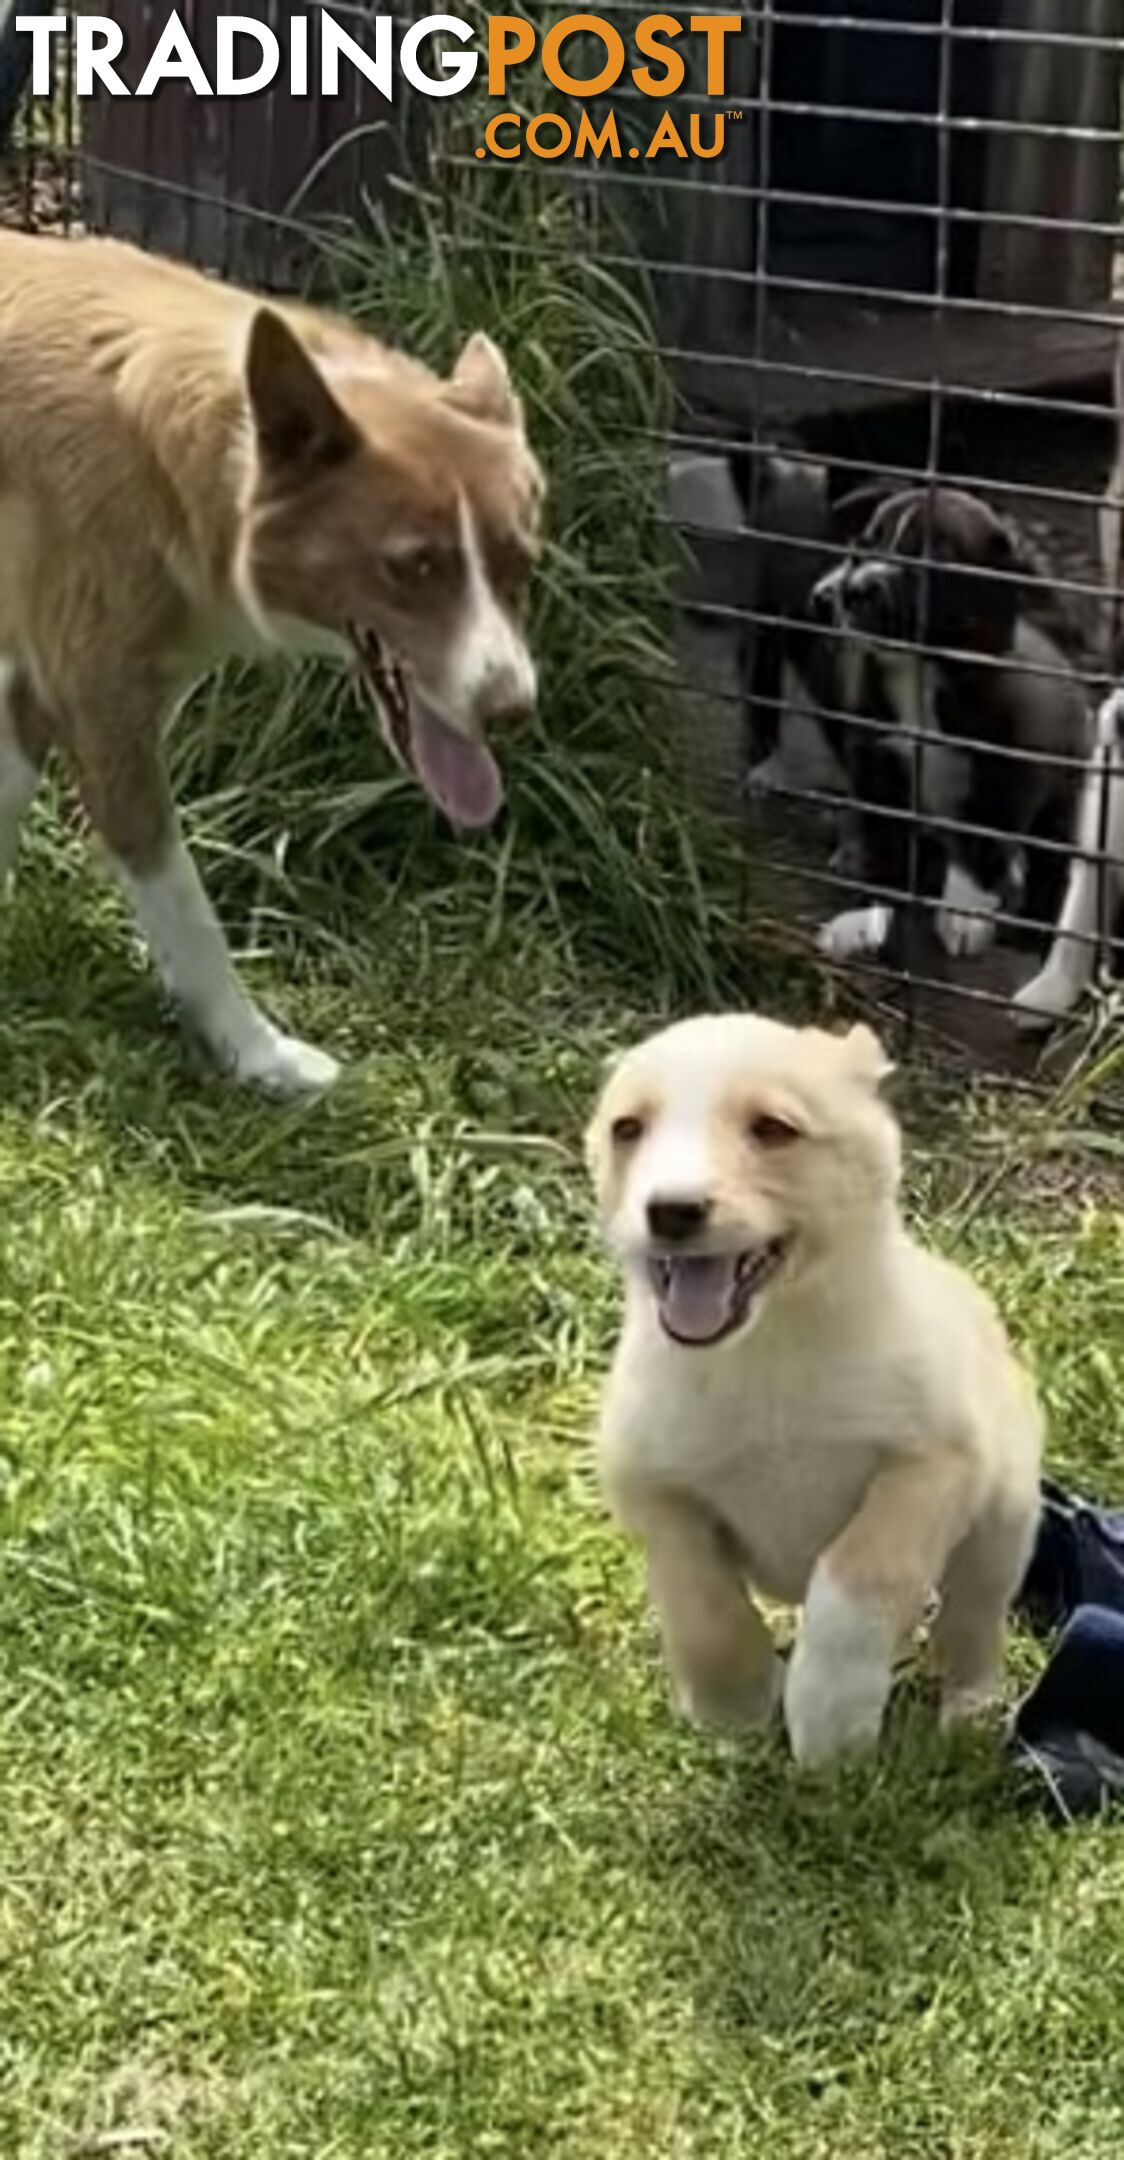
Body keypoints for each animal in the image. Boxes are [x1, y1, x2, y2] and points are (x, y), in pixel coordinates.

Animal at [0, 232, 544, 1097]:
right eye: (414, 566)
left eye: (520, 564)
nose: (514, 710)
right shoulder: (101, 711)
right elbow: (188, 913)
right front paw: (256, 1054)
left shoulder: (33, 690)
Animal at [587, 1019, 1046, 1762]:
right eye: (627, 1128)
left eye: (774, 1129)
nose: (672, 1211)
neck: (769, 1351)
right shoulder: (655, 1490)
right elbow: (702, 1607)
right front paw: (735, 1706)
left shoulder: (934, 1463)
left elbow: (858, 1576)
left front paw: (831, 1716)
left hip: (1001, 1526)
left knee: (971, 1626)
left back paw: (970, 1714)